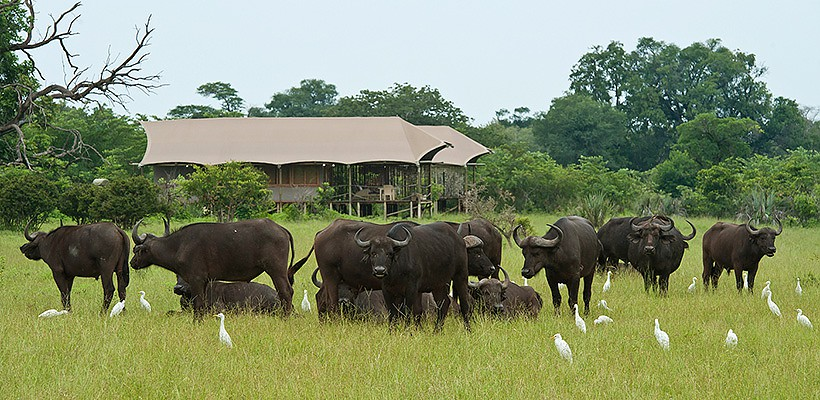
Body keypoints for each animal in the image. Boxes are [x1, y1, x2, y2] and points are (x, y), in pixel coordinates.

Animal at [128, 217, 294, 318]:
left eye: (136, 250)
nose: (132, 263)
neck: (179, 245)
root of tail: (280, 228)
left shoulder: (196, 279)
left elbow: (198, 303)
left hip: (276, 271)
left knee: (286, 291)